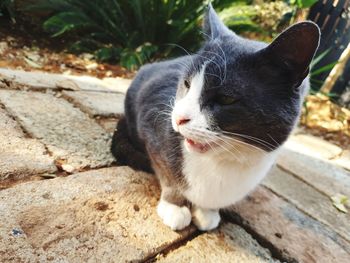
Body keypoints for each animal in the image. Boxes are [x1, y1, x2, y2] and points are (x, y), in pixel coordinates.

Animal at [111, 3, 320, 231]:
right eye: (186, 83)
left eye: (226, 99)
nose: (178, 118)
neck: (226, 160)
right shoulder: (151, 121)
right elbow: (165, 170)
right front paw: (174, 206)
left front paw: (206, 211)